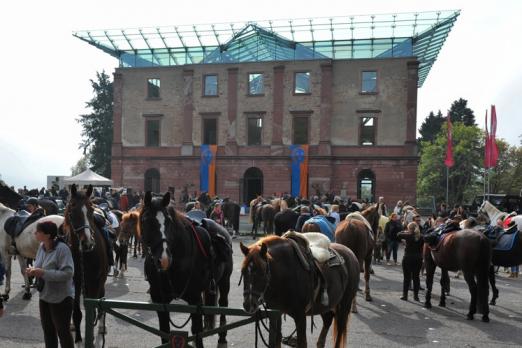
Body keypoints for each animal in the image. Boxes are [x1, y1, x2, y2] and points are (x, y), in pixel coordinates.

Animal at [63, 185, 107, 342]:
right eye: (72, 209)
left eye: (91, 210)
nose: (87, 243)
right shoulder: (76, 281)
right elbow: (77, 312)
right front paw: (78, 340)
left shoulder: (96, 281)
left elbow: (93, 310)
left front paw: (92, 337)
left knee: (102, 300)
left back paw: (101, 328)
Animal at [137, 192, 231, 346]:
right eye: (146, 220)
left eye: (169, 221)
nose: (164, 259)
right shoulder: (159, 300)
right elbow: (164, 331)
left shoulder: (195, 300)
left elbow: (196, 331)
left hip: (224, 282)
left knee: (223, 305)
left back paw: (222, 337)